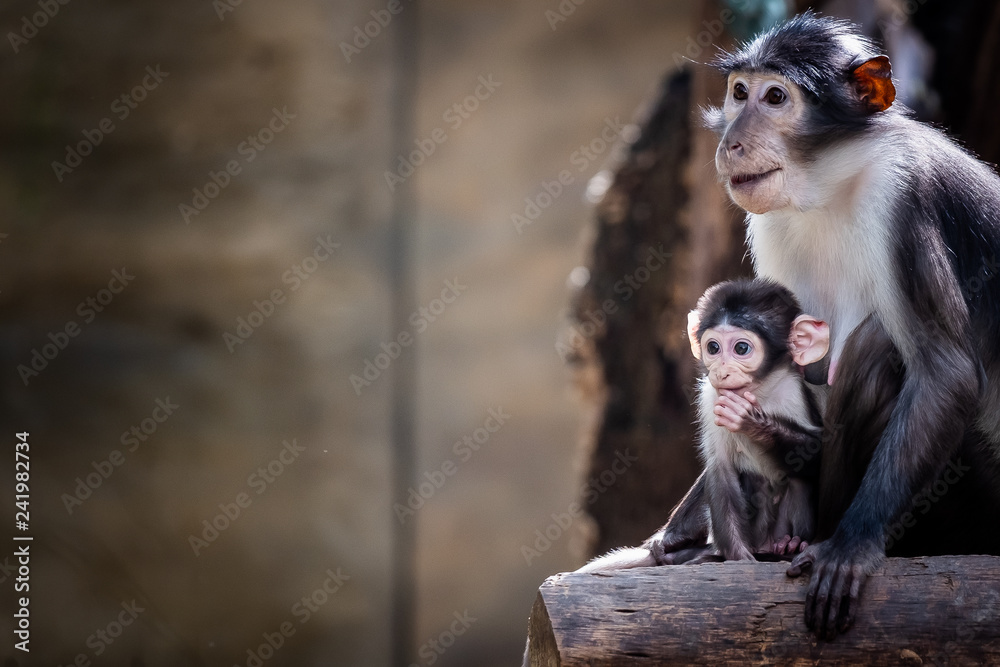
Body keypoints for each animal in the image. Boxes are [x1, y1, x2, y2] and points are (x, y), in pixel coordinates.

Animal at [574, 279, 829, 573]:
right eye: (713, 348)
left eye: (741, 349)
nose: (721, 371)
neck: (760, 391)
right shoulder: (710, 398)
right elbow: (720, 470)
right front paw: (739, 557)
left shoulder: (793, 393)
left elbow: (818, 451)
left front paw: (752, 420)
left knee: (797, 478)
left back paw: (789, 544)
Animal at [653, 12, 1000, 638]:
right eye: (739, 92)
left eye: (775, 97)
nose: (731, 141)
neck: (835, 185)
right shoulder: (773, 224)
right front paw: (682, 527)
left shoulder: (905, 194)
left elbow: (948, 371)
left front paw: (851, 546)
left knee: (874, 348)